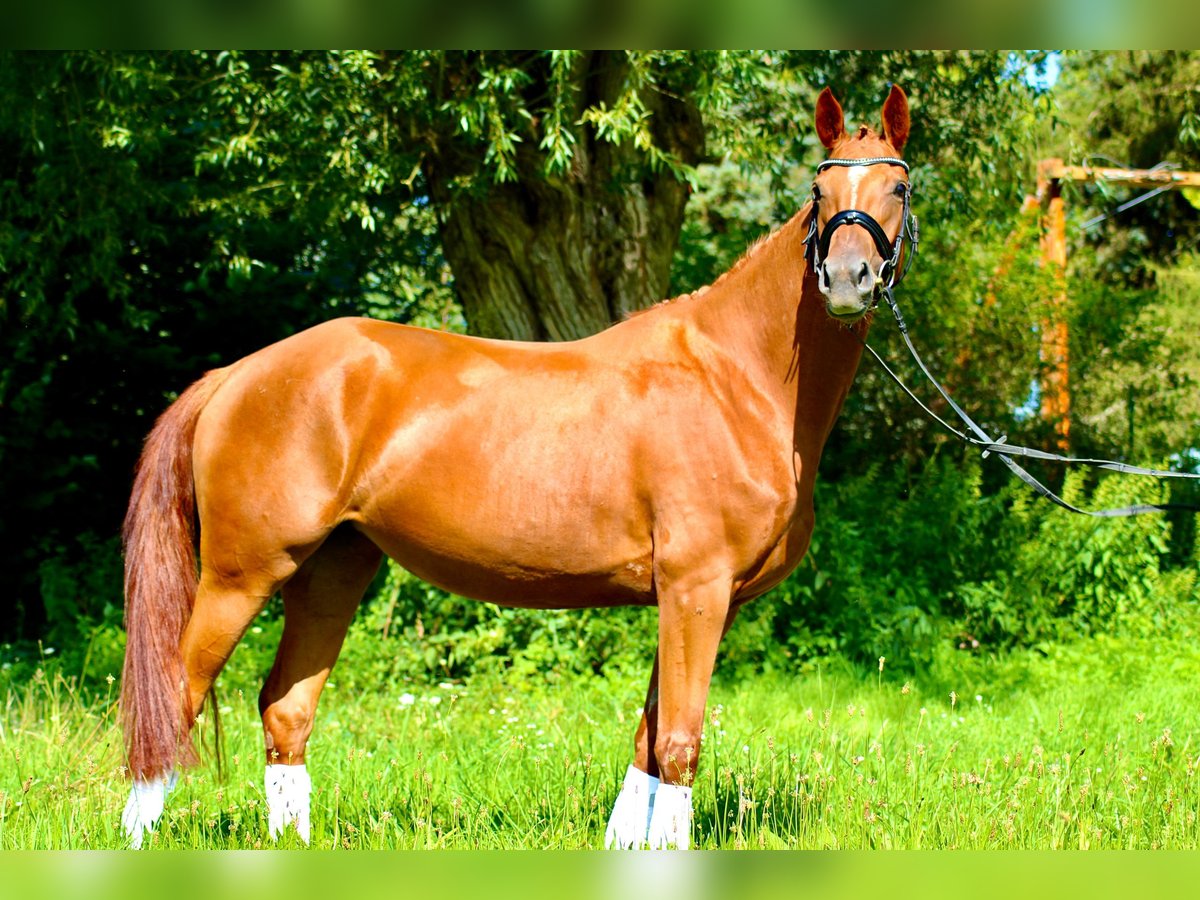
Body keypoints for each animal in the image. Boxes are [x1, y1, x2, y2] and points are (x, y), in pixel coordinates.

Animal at [119, 86, 907, 854]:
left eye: (898, 185)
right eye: (818, 189)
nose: (847, 280)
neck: (736, 377)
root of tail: (236, 374)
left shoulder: (694, 597)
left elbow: (649, 739)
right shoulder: (695, 589)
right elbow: (679, 744)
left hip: (332, 570)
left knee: (285, 707)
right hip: (241, 575)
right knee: (178, 698)